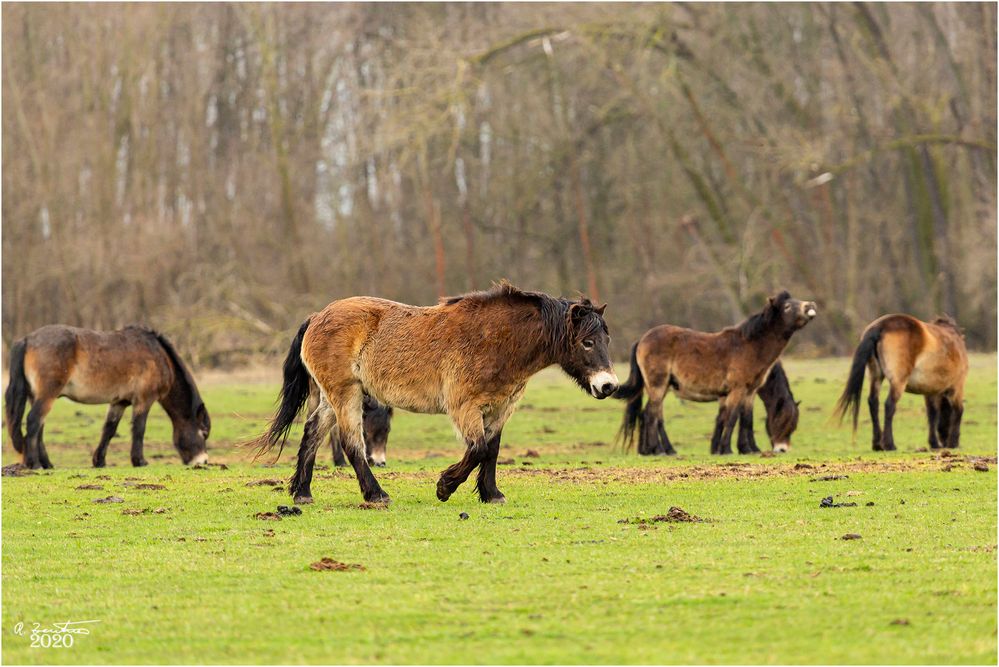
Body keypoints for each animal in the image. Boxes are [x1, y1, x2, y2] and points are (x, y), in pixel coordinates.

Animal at [3, 324, 210, 470]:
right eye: (203, 433)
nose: (203, 461)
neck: (159, 356)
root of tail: (28, 339)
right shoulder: (144, 400)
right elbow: (139, 429)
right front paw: (140, 461)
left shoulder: (119, 402)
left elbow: (109, 430)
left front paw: (99, 461)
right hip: (47, 395)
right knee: (33, 422)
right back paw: (35, 464)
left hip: (37, 396)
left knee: (39, 427)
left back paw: (47, 463)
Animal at [256, 284, 616, 506]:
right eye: (587, 342)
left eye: (606, 340)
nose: (608, 385)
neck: (496, 339)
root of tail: (317, 316)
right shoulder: (464, 406)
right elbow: (478, 449)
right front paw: (445, 486)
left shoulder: (501, 407)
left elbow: (492, 450)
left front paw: (491, 494)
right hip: (346, 393)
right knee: (351, 442)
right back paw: (376, 495)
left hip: (333, 397)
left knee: (312, 433)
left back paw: (302, 492)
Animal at [612, 290, 816, 454]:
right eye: (787, 306)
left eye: (793, 425)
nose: (810, 306)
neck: (750, 345)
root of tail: (642, 340)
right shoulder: (737, 390)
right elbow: (732, 418)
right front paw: (727, 449)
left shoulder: (747, 392)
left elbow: (741, 419)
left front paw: (746, 448)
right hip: (658, 386)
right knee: (650, 415)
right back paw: (658, 450)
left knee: (650, 415)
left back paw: (655, 450)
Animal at [836, 316, 968, 452]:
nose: (945, 441)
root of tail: (880, 326)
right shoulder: (956, 387)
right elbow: (958, 410)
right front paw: (953, 443)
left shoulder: (930, 391)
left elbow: (932, 414)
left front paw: (934, 443)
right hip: (898, 382)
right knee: (889, 405)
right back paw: (889, 444)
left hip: (876, 376)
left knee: (873, 403)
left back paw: (877, 444)